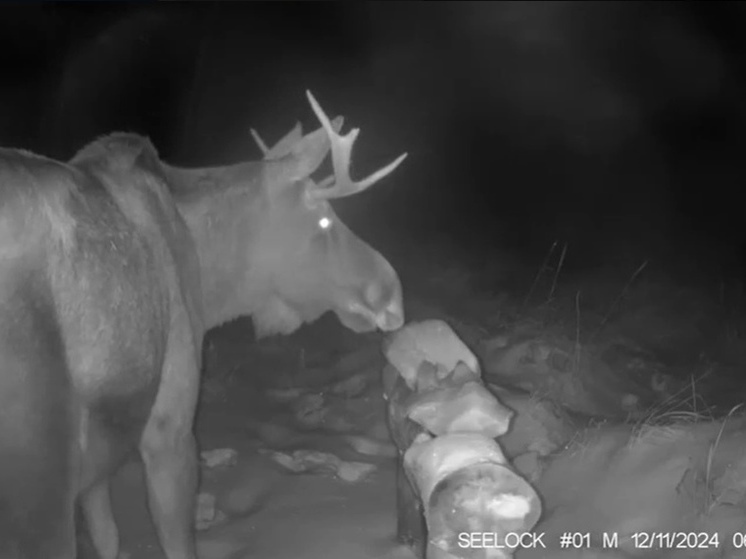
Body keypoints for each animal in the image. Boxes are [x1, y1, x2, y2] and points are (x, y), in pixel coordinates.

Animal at [0, 92, 406, 559]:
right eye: (324, 219)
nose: (391, 292)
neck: (211, 281)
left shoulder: (100, 461)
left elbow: (107, 537)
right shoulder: (170, 424)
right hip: (39, 478)